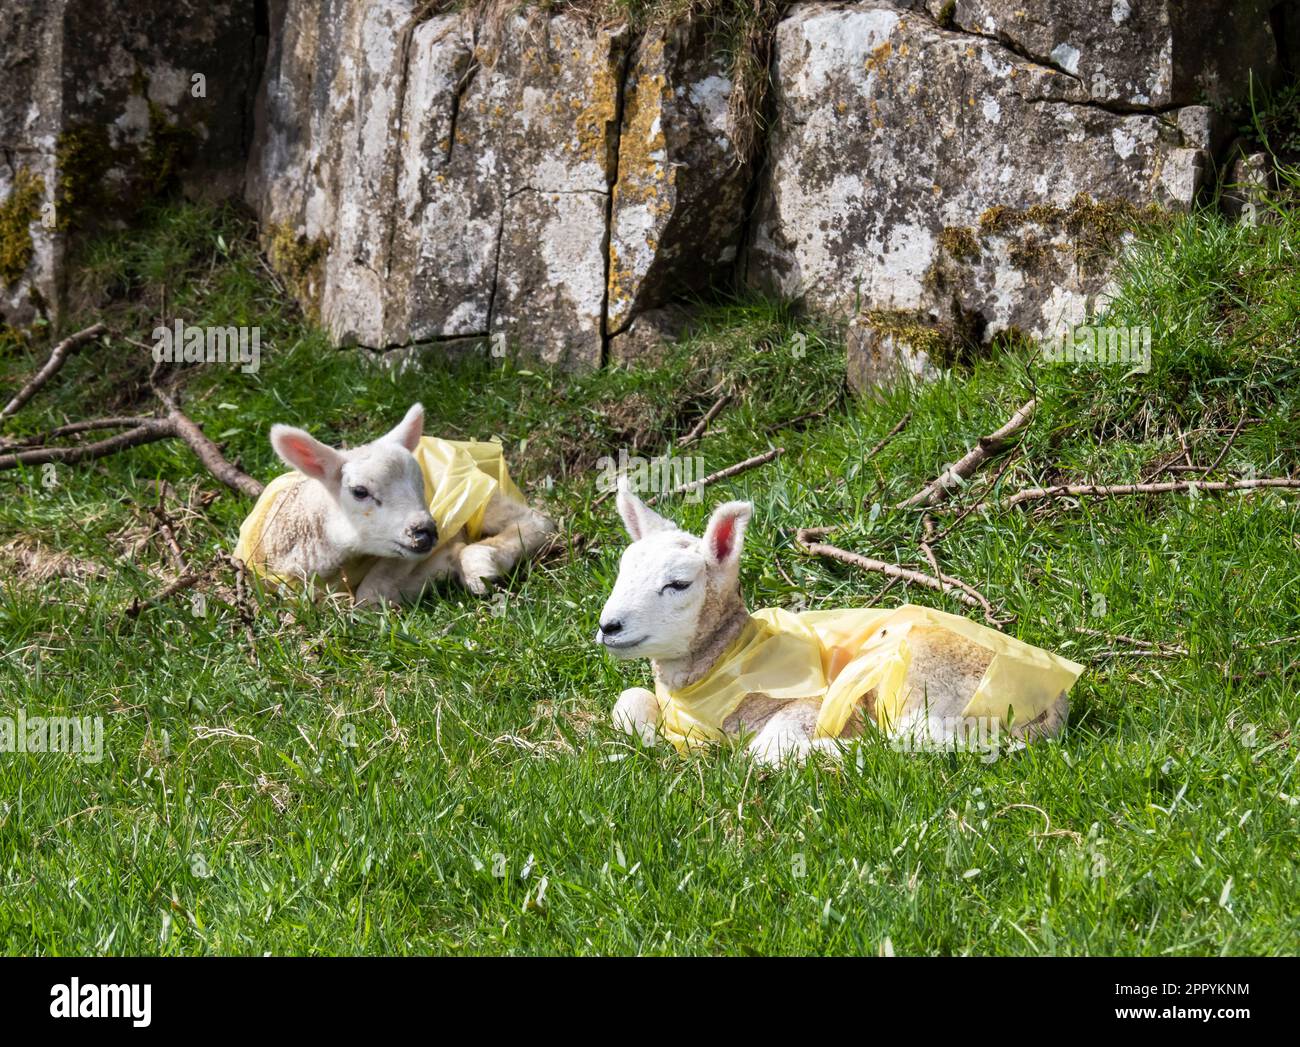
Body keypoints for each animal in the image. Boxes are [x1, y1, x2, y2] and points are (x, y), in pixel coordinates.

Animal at [232, 403, 553, 603]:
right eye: (360, 491)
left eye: (421, 484)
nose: (426, 532)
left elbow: (370, 594)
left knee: (537, 521)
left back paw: (480, 566)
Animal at [595, 483, 1081, 769]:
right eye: (622, 571)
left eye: (678, 584)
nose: (609, 626)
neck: (724, 661)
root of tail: (1055, 703)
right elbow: (628, 702)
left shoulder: (806, 702)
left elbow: (770, 748)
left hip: (925, 681)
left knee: (913, 742)